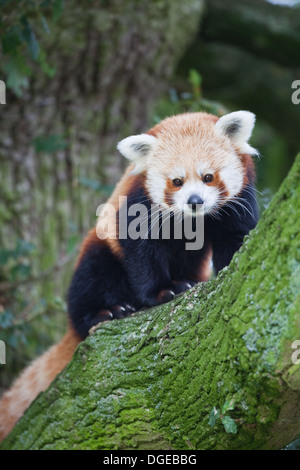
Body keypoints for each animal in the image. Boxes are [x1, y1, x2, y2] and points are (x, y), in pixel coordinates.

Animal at [0, 110, 258, 440]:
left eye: (208, 177)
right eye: (177, 181)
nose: (195, 201)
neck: (191, 222)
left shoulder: (239, 201)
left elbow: (235, 235)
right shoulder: (137, 205)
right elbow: (142, 254)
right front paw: (161, 292)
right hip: (97, 255)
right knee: (92, 279)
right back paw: (105, 312)